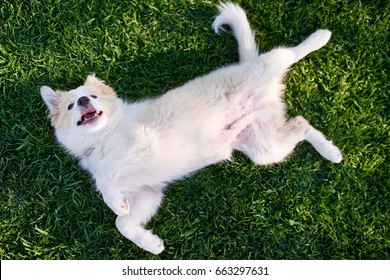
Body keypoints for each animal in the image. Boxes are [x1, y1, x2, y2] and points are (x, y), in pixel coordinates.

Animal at [41, 2, 342, 255]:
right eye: (71, 106)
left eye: (92, 96)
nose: (83, 101)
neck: (101, 139)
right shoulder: (147, 193)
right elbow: (123, 223)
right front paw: (150, 243)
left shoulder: (138, 141)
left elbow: (106, 175)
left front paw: (112, 199)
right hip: (265, 149)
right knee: (301, 123)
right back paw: (331, 151)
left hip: (264, 70)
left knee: (288, 53)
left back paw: (321, 36)